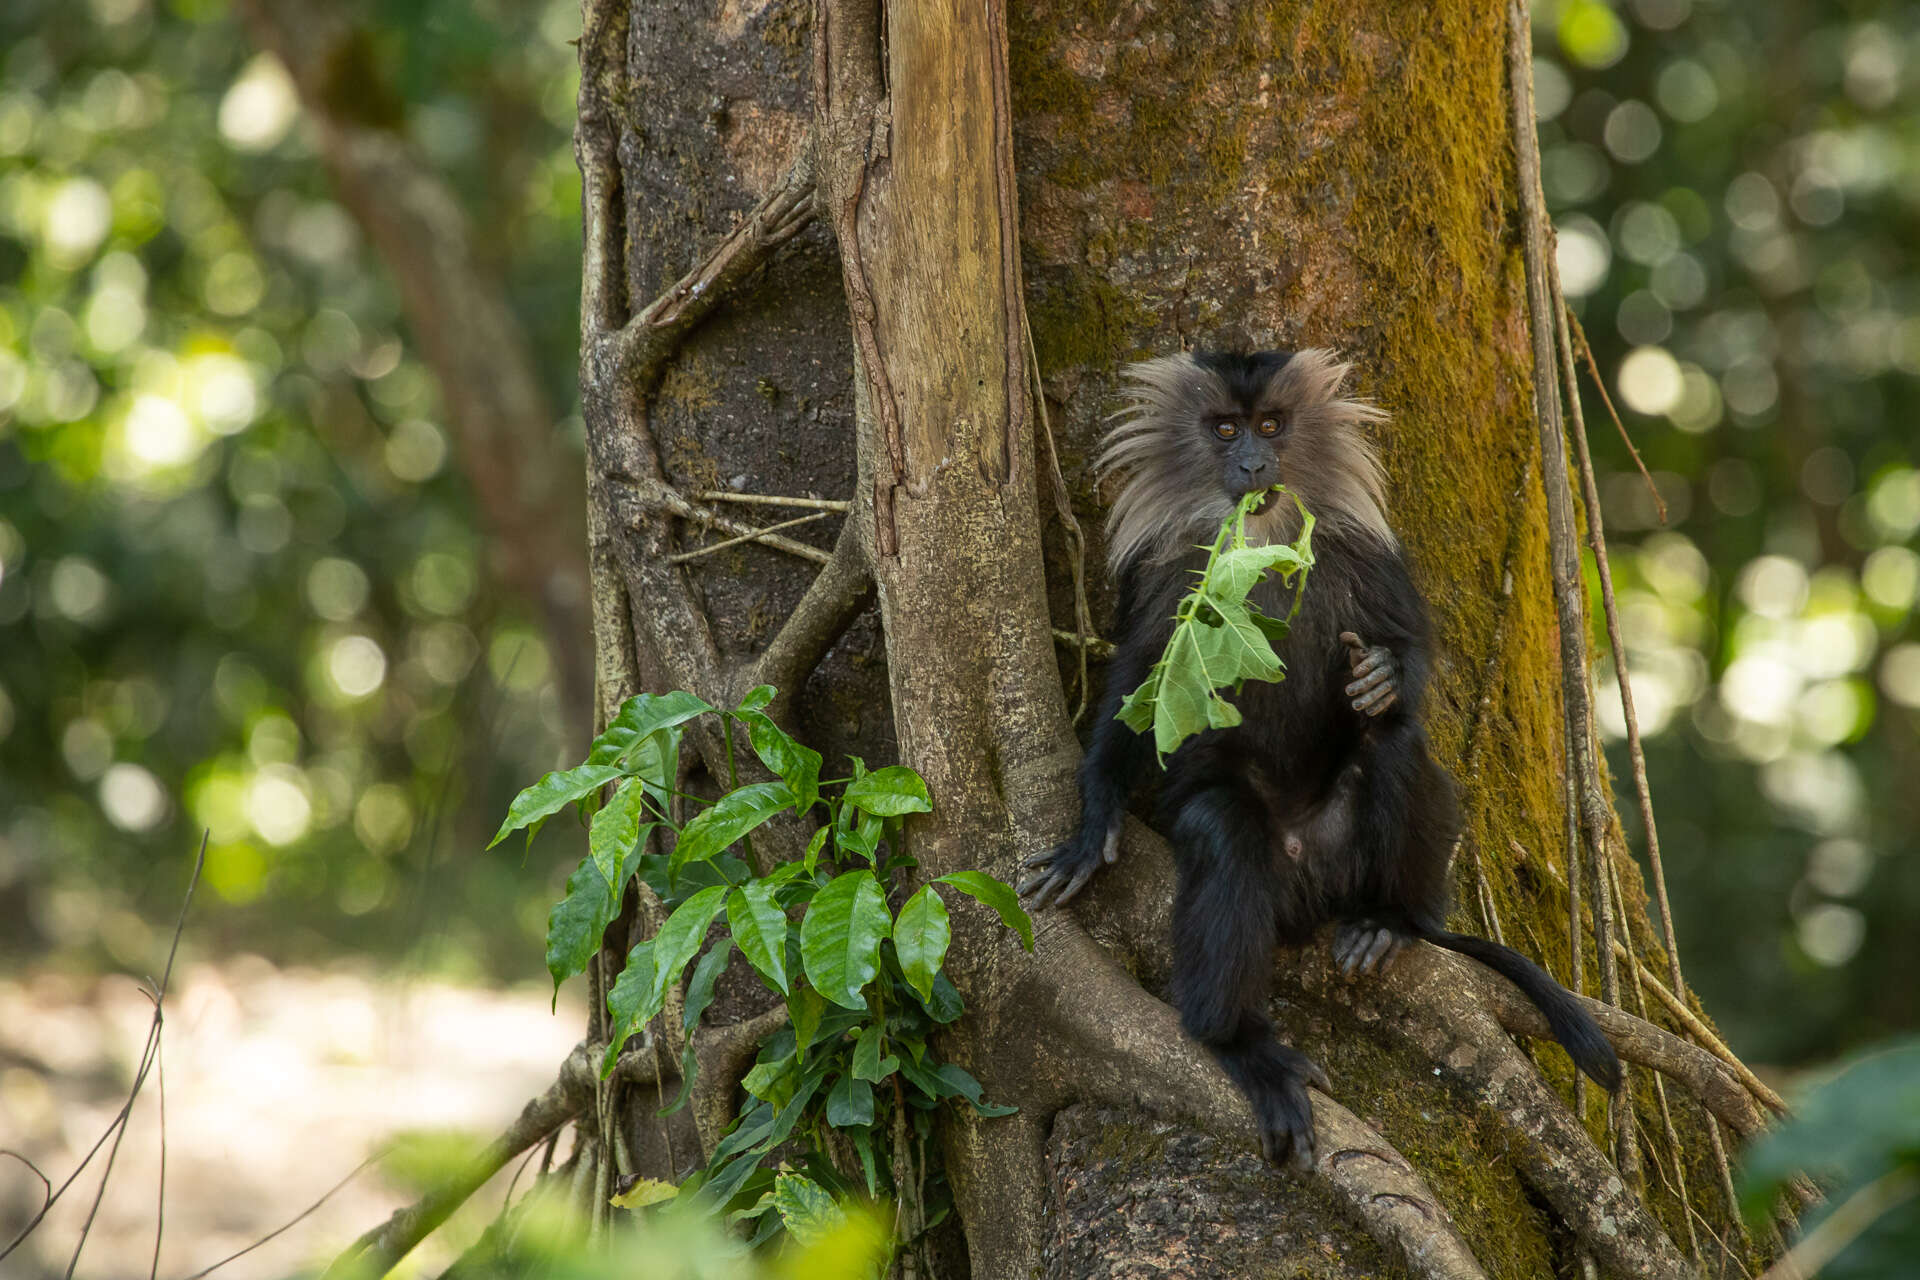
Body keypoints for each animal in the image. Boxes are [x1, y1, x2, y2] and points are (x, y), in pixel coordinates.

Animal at [1021, 347, 1620, 1174]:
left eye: (1272, 425)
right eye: (1226, 428)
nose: (1252, 462)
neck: (1263, 537)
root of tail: (1310, 883)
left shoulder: (1368, 554)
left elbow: (1408, 658)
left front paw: (1380, 678)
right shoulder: (1162, 575)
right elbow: (1138, 691)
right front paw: (1094, 821)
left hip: (1354, 858)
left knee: (1391, 749)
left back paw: (1389, 922)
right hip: (1263, 863)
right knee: (1224, 828)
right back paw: (1241, 1044)